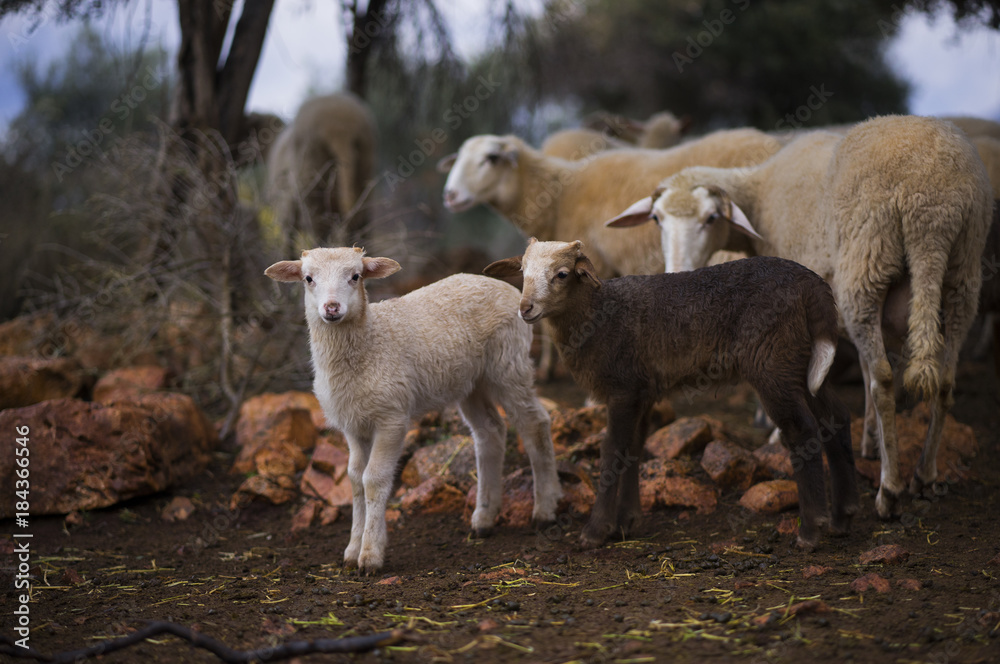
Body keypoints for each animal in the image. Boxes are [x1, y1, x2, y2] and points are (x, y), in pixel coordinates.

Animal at [265, 247, 561, 574]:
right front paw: (352, 549)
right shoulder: (354, 425)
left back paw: (544, 510)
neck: (369, 344)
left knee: (535, 423)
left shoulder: (391, 417)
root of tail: (504, 287)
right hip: (471, 382)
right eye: (308, 278)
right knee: (490, 433)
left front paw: (370, 554)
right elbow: (354, 479)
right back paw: (484, 517)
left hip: (509, 363)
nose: (332, 308)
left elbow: (374, 479)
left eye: (355, 276)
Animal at [484, 240, 857, 551]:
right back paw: (842, 517)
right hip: (804, 361)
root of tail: (814, 287)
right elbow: (633, 448)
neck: (598, 313)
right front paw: (626, 522)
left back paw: (811, 530)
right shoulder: (642, 391)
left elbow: (612, 450)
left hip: (772, 361)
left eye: (562, 274)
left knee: (801, 429)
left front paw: (595, 531)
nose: (526, 308)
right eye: (522, 272)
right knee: (836, 418)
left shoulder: (623, 389)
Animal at [607, 115, 993, 518]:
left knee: (885, 380)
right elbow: (863, 369)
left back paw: (889, 490)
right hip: (961, 274)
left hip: (866, 265)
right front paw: (870, 441)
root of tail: (931, 202)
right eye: (656, 219)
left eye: (712, 218)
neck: (759, 191)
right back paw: (925, 475)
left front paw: (779, 432)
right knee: (943, 381)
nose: (677, 273)